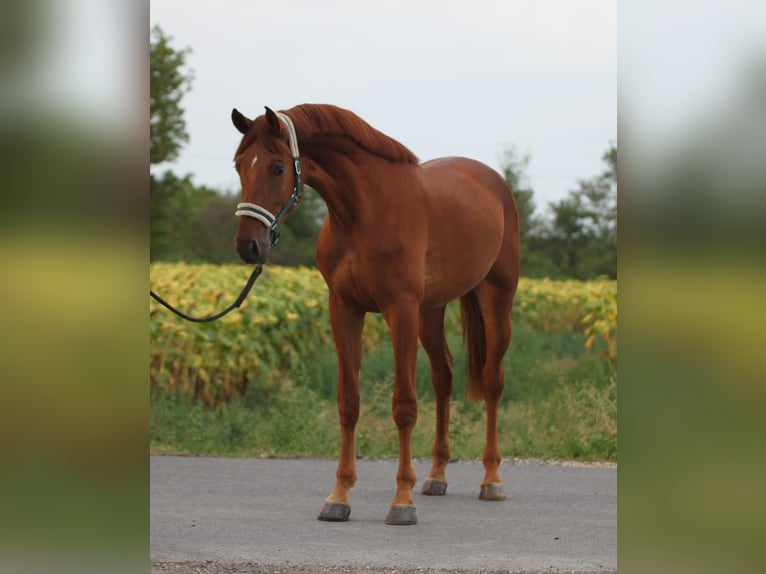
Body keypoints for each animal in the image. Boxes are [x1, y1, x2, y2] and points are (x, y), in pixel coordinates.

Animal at [232, 104, 520, 528]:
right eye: (239, 165)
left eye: (278, 167)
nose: (248, 246)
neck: (364, 213)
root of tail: (493, 183)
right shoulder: (344, 309)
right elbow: (349, 402)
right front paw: (339, 497)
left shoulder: (400, 311)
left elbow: (404, 406)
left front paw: (402, 502)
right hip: (431, 312)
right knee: (444, 377)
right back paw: (436, 476)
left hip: (495, 300)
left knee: (493, 382)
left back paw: (492, 479)